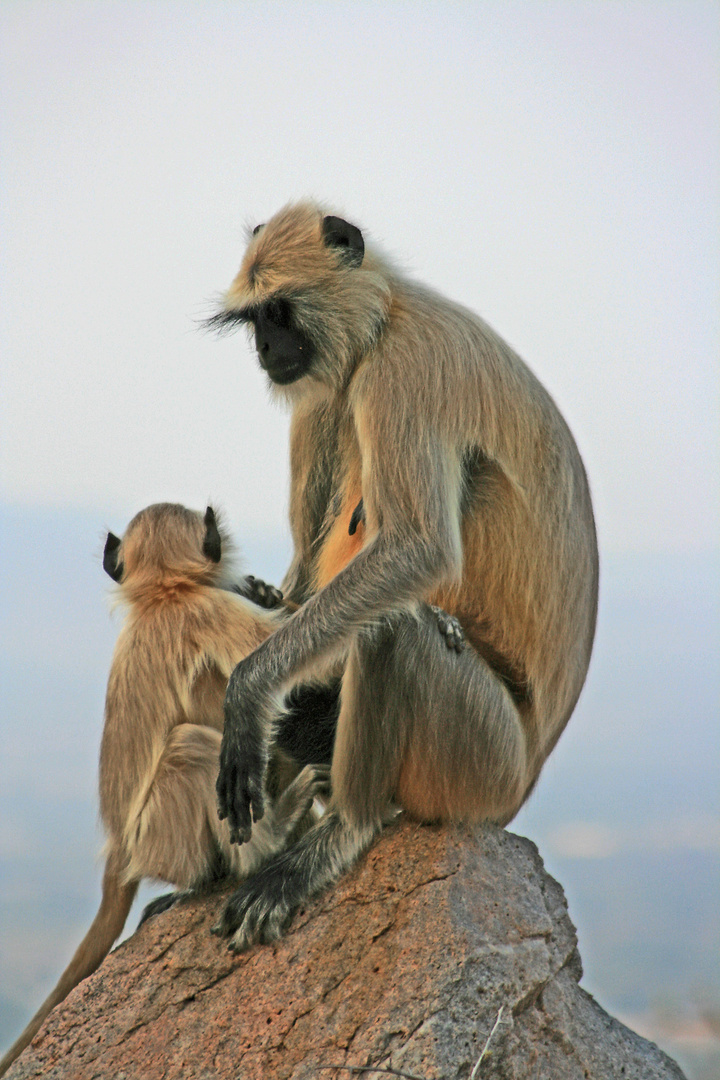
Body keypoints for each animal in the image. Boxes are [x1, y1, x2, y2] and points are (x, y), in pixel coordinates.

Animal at [209, 203, 604, 954]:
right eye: (255, 321)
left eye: (280, 311)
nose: (266, 350)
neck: (386, 313)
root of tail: (525, 780)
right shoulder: (331, 387)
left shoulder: (403, 368)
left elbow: (418, 550)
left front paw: (246, 696)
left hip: (479, 765)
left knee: (394, 629)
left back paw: (342, 829)